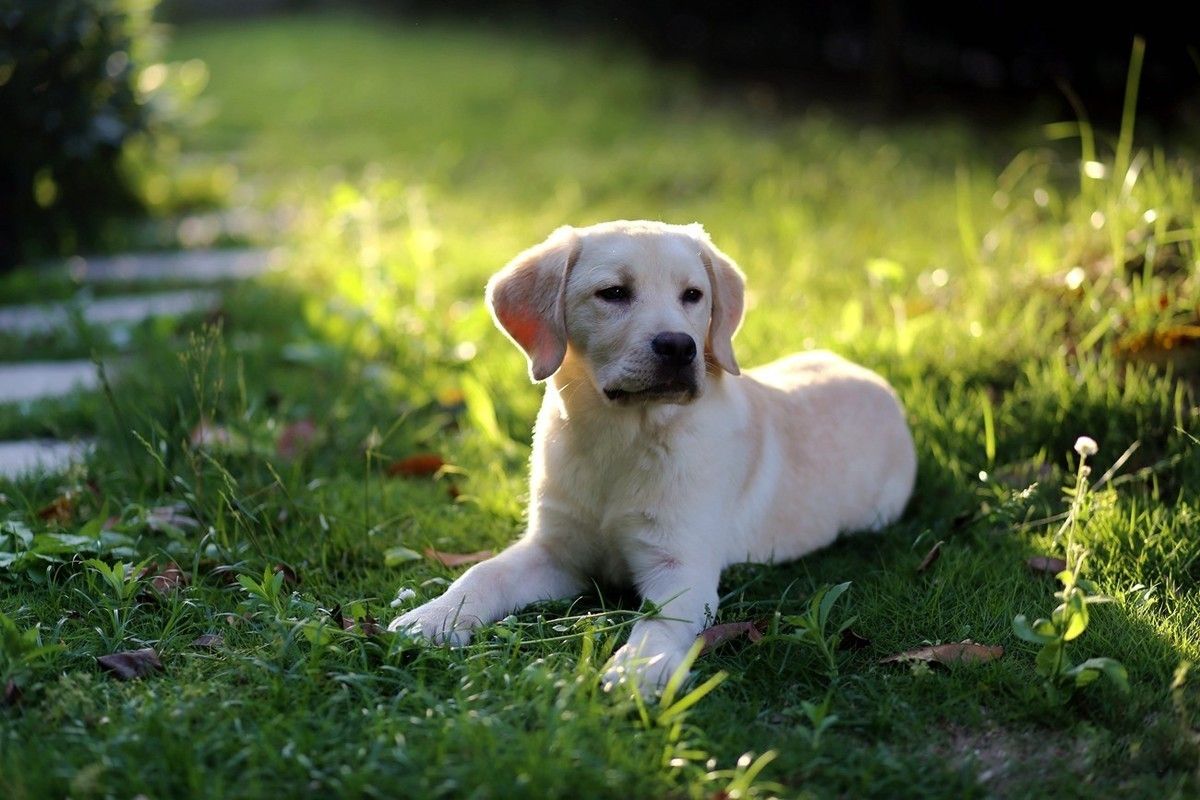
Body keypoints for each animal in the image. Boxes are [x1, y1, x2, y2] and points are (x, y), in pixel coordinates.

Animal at [388, 220, 912, 695]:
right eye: (614, 293)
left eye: (693, 295)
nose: (680, 346)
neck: (621, 437)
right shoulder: (555, 550)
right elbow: (483, 572)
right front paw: (433, 617)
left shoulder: (681, 565)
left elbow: (659, 621)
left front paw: (639, 667)